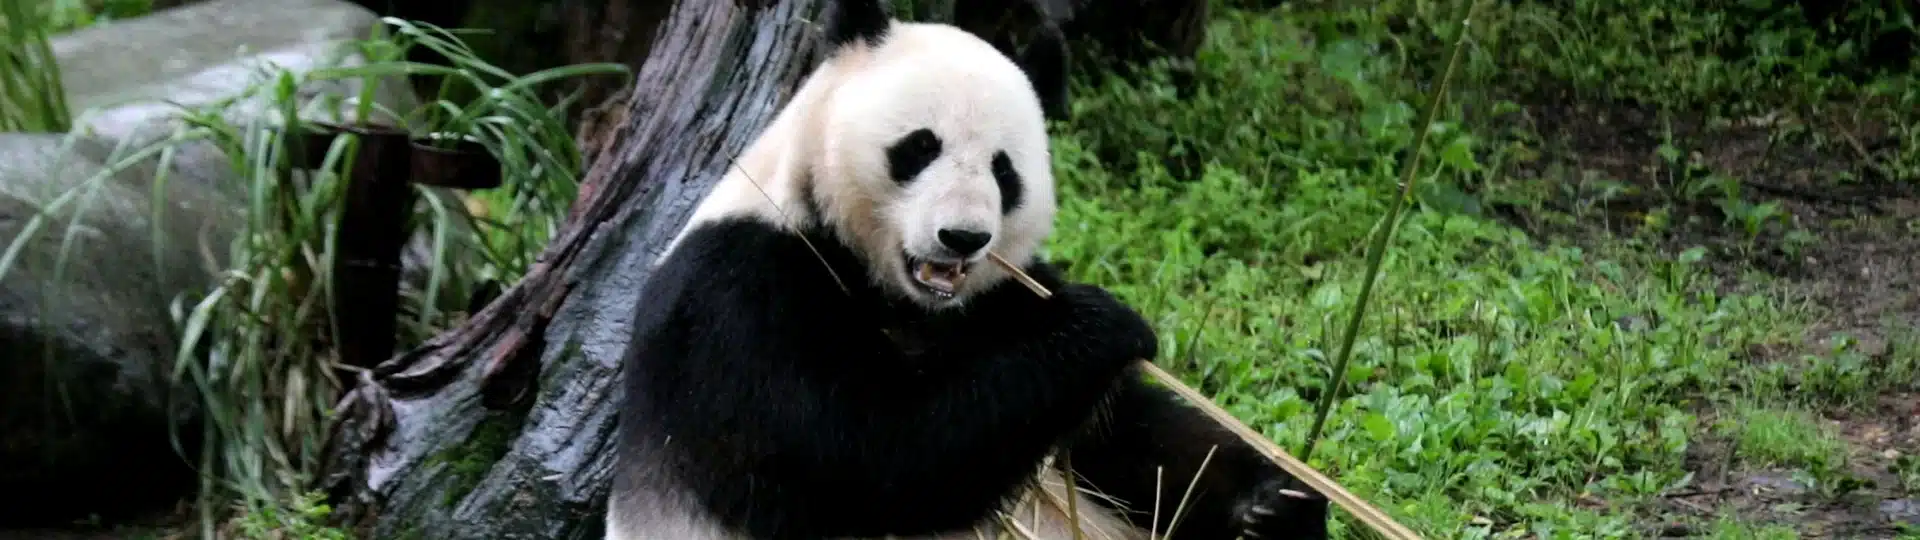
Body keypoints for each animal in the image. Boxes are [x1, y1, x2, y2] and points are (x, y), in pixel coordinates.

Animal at [607, 1, 1331, 538]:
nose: (962, 238)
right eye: (920, 147)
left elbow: (1128, 440)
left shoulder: (1003, 298)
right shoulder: (739, 299)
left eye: (1004, 170)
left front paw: (1272, 503)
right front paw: (1105, 325)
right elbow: (875, 461)